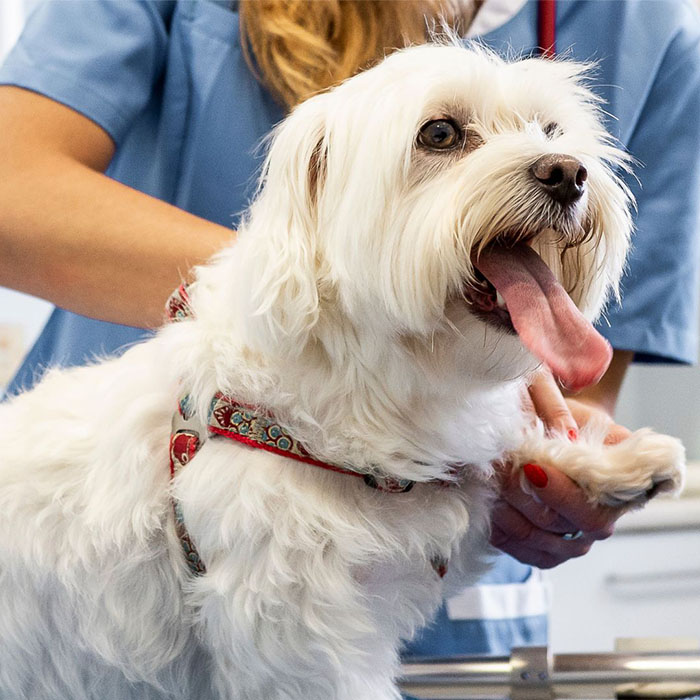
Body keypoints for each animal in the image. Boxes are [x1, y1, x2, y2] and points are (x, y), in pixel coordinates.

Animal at [0, 45, 684, 700]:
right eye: (439, 133)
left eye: (551, 129)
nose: (567, 171)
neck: (376, 387)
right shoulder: (294, 634)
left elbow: (503, 454)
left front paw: (613, 464)